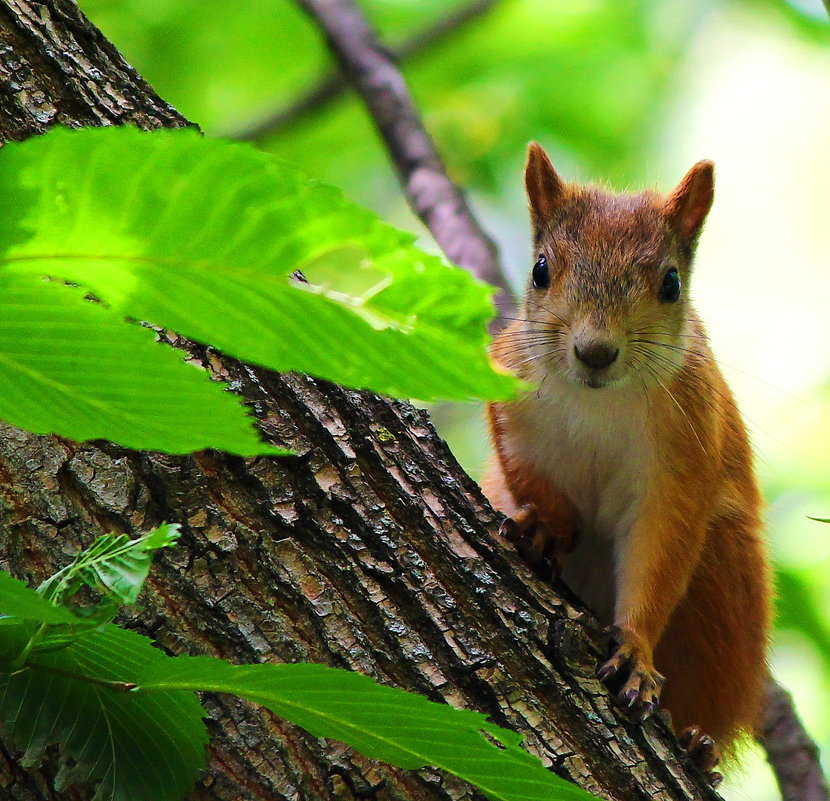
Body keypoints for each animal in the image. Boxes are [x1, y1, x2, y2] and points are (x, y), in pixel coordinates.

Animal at [484, 141, 776, 780]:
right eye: (540, 270)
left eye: (671, 283)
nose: (595, 352)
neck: (600, 401)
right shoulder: (506, 391)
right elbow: (523, 469)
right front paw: (545, 525)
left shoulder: (682, 462)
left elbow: (659, 549)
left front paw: (636, 652)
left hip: (725, 582)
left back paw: (696, 738)